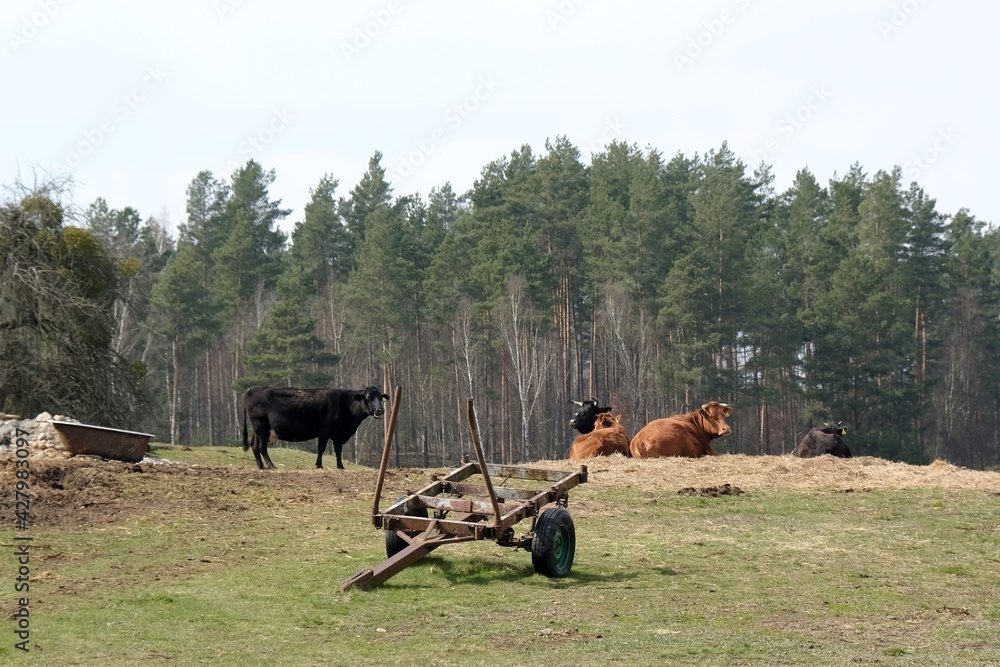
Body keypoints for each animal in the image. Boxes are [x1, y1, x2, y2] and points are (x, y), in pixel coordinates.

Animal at [242, 385, 389, 470]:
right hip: (262, 426)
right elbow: (321, 448)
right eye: (368, 398)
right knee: (262, 447)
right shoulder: (324, 430)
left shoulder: (338, 435)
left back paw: (261, 466)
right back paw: (271, 466)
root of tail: (253, 389)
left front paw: (340, 466)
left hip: (257, 428)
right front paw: (319, 465)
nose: (380, 410)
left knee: (255, 446)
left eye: (380, 397)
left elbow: (338, 450)